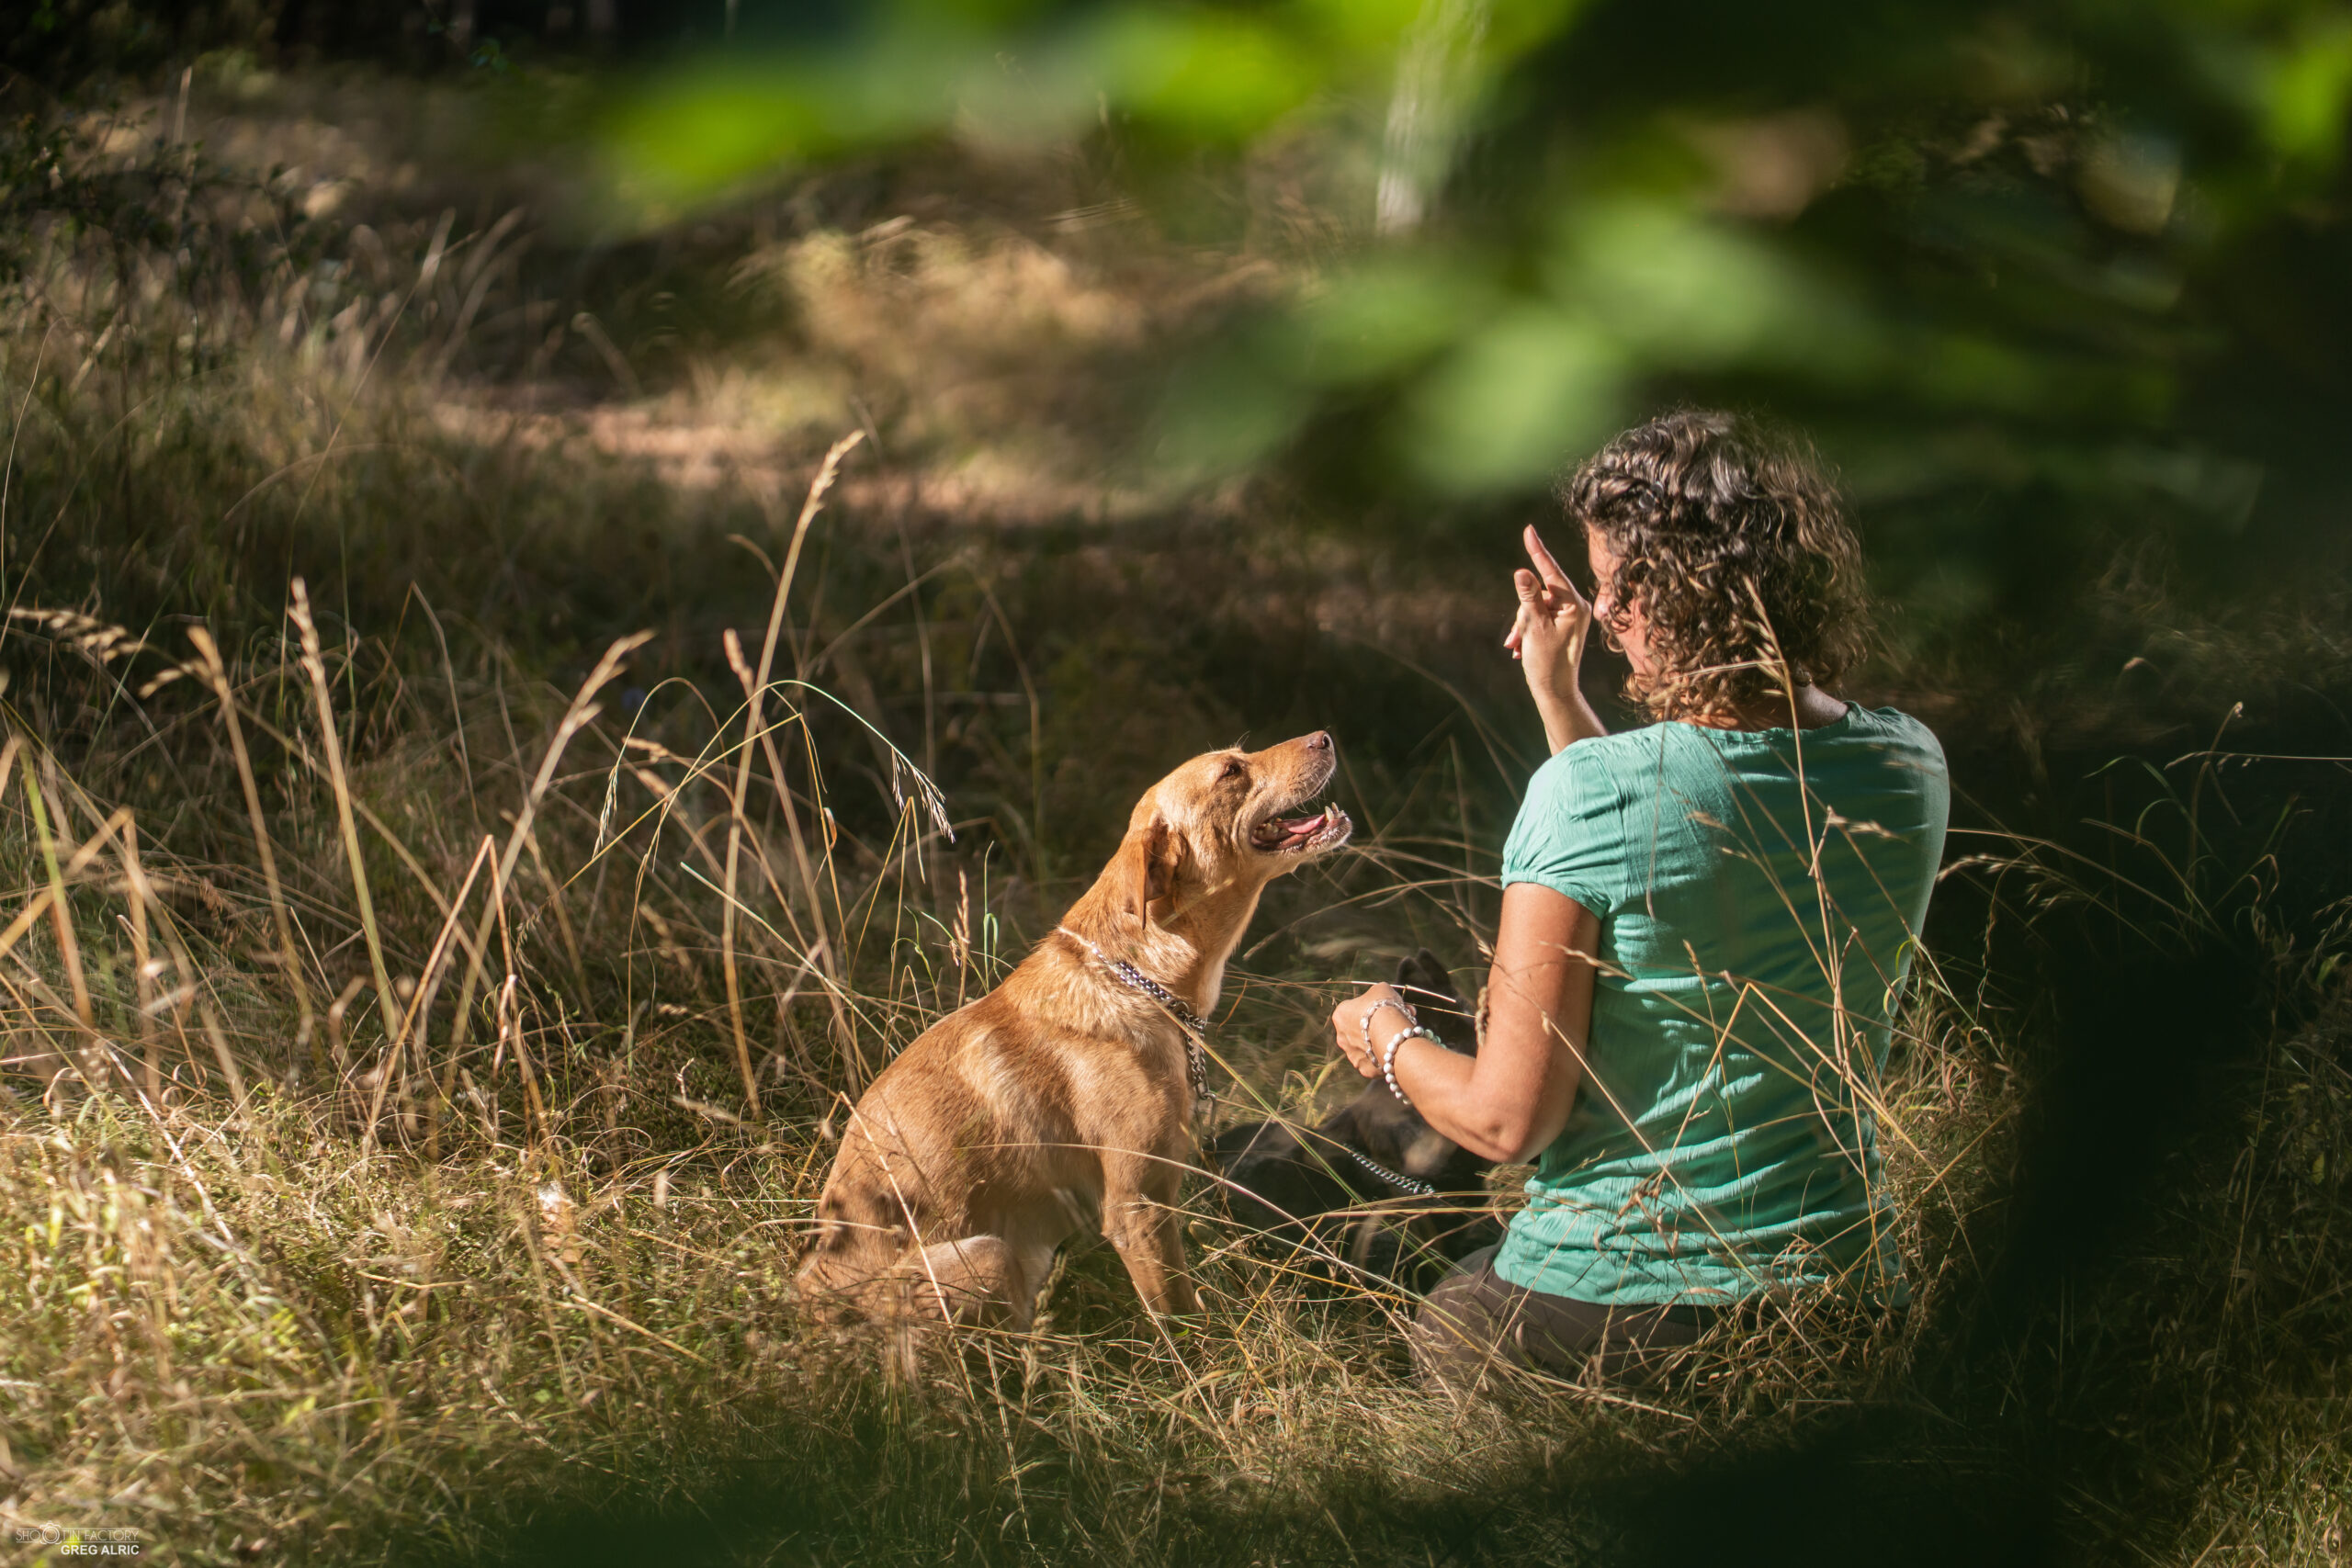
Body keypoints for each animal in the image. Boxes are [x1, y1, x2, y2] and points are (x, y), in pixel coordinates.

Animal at [799, 728, 1354, 1335]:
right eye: (1231, 771)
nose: (1326, 737)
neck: (1140, 978)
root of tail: (804, 1301)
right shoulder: (1137, 1208)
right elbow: (1184, 1321)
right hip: (988, 1257)